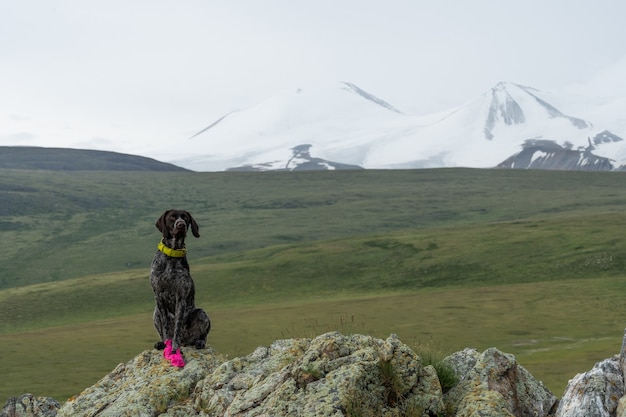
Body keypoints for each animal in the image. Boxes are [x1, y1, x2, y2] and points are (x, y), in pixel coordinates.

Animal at [150, 210, 211, 360]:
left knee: (202, 335)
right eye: (172, 217)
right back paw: (161, 343)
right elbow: (165, 326)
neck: (172, 254)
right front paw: (167, 344)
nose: (181, 224)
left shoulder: (181, 297)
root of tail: (185, 341)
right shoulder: (158, 297)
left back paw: (199, 342)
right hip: (155, 312)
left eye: (185, 218)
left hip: (201, 313)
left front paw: (174, 348)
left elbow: (177, 327)